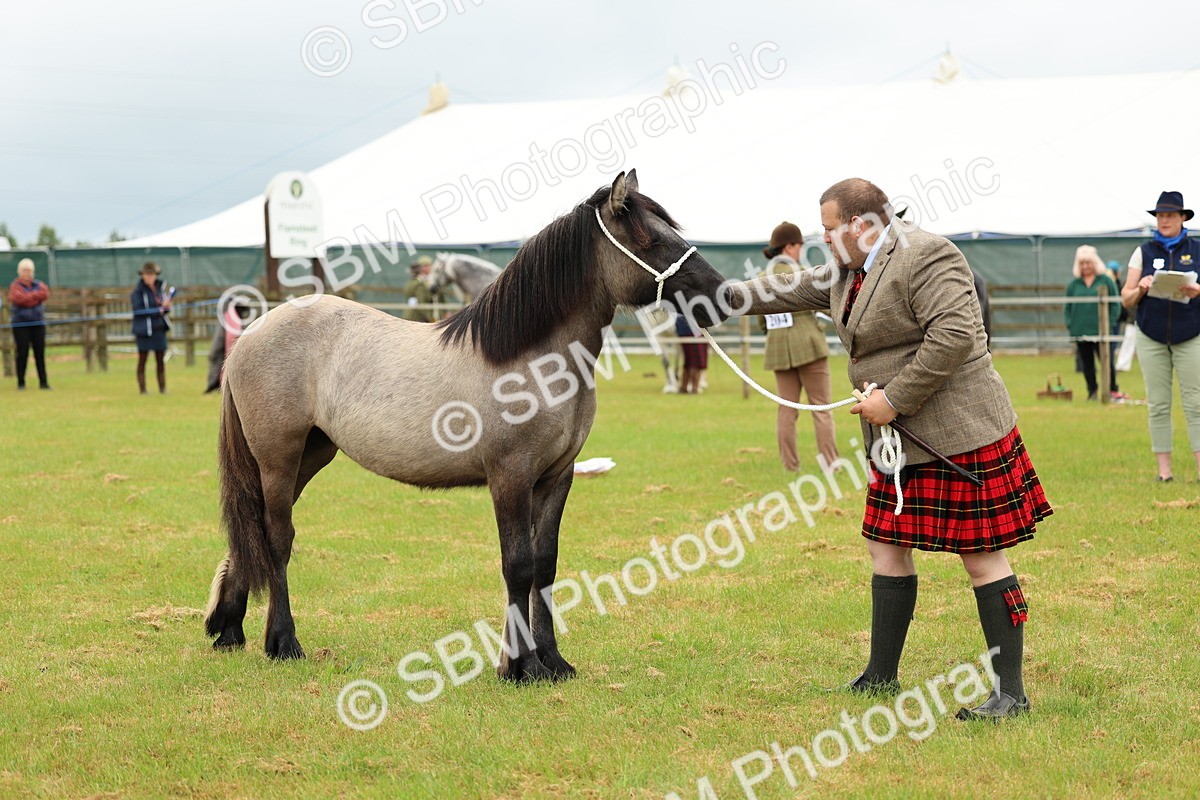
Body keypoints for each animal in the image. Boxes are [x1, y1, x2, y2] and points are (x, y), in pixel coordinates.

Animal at [203, 170, 730, 682]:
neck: (532, 359)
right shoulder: (510, 475)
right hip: (278, 458)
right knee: (276, 538)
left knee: (252, 531)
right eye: (651, 239)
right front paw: (521, 667)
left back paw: (228, 627)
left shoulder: (557, 477)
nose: (724, 296)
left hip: (309, 455)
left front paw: (553, 662)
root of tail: (253, 332)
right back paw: (283, 643)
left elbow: (545, 565)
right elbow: (518, 566)